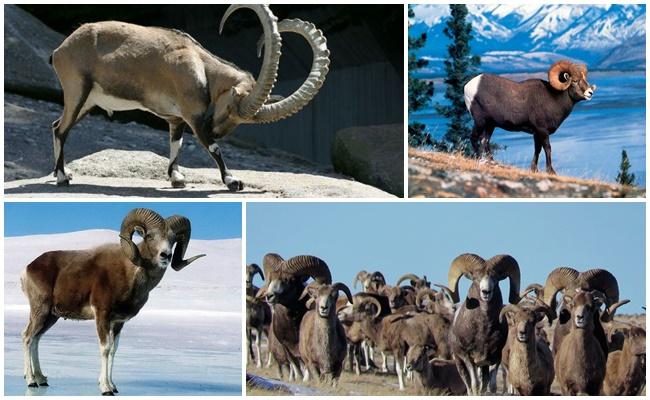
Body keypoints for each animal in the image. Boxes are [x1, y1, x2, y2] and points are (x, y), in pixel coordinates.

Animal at [20, 208, 204, 395]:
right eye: (150, 236)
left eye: (172, 239)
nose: (166, 255)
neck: (130, 275)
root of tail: (28, 268)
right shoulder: (102, 316)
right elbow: (105, 348)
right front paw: (105, 388)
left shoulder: (118, 323)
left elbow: (114, 350)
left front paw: (113, 386)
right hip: (40, 311)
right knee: (27, 337)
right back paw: (31, 381)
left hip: (51, 317)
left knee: (36, 339)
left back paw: (41, 379)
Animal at [49, 5, 329, 190]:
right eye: (230, 107)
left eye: (241, 121)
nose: (215, 130)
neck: (201, 65)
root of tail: (60, 49)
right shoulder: (194, 116)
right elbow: (212, 147)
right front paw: (232, 180)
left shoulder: (176, 118)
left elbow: (177, 143)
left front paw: (176, 178)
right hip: (77, 91)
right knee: (62, 129)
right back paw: (62, 178)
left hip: (89, 102)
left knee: (56, 126)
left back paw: (61, 173)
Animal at [446, 253, 521, 395]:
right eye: (475, 278)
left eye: (496, 279)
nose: (486, 292)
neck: (483, 330)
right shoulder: (468, 358)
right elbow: (475, 385)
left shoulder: (494, 358)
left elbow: (491, 386)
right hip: (460, 363)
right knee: (469, 385)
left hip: (483, 366)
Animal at [464, 60, 596, 174]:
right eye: (574, 81)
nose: (590, 93)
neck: (554, 99)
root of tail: (468, 86)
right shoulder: (542, 131)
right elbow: (547, 148)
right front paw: (551, 172)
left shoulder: (536, 133)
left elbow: (537, 150)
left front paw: (534, 170)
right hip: (480, 121)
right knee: (474, 138)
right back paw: (480, 160)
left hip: (490, 125)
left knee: (485, 141)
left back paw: (492, 162)